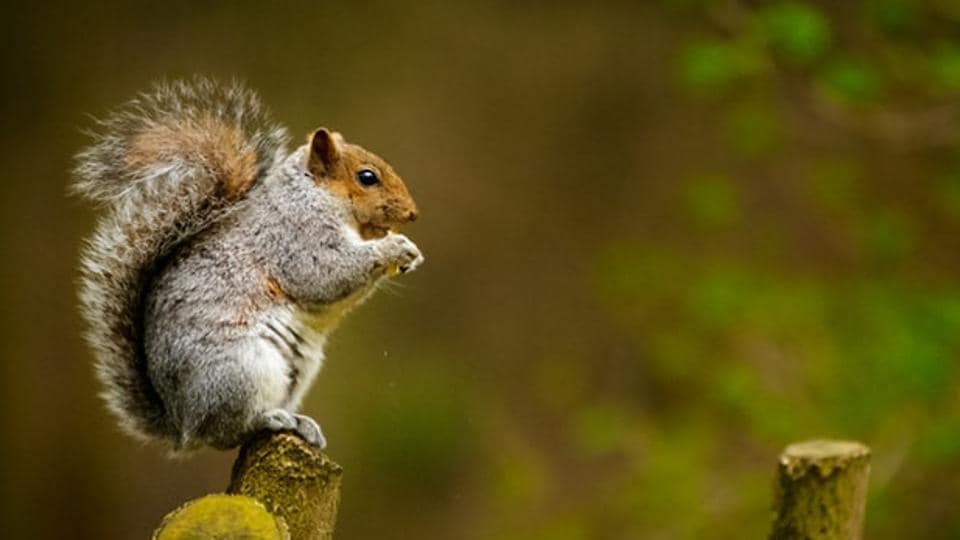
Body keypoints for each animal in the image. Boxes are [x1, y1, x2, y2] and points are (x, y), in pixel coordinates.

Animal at [71, 78, 424, 452]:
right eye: (367, 177)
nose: (412, 213)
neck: (313, 195)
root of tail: (182, 423)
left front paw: (410, 254)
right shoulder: (296, 239)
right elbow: (327, 273)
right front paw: (394, 247)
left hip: (296, 371)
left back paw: (301, 423)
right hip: (241, 370)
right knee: (227, 432)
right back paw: (271, 419)